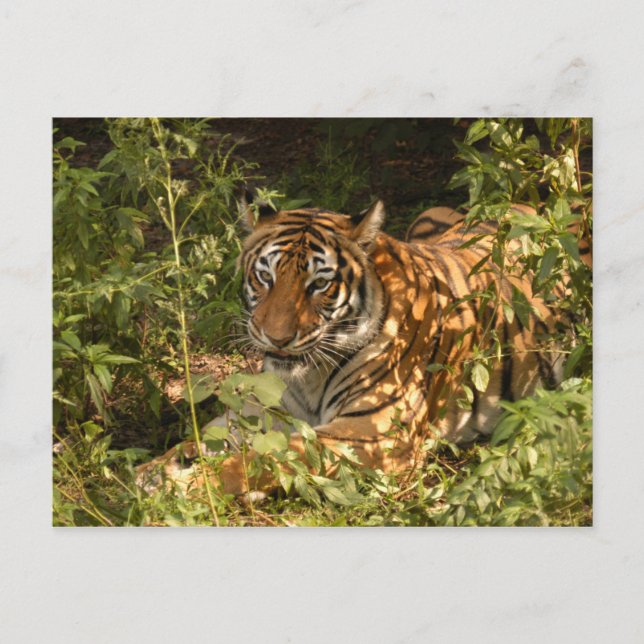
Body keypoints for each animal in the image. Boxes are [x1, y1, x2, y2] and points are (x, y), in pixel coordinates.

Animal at [136, 199, 564, 497]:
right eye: (265, 277)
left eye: (319, 285)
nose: (276, 338)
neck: (309, 374)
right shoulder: (264, 410)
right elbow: (202, 437)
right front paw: (152, 471)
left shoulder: (374, 432)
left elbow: (271, 457)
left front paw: (188, 485)